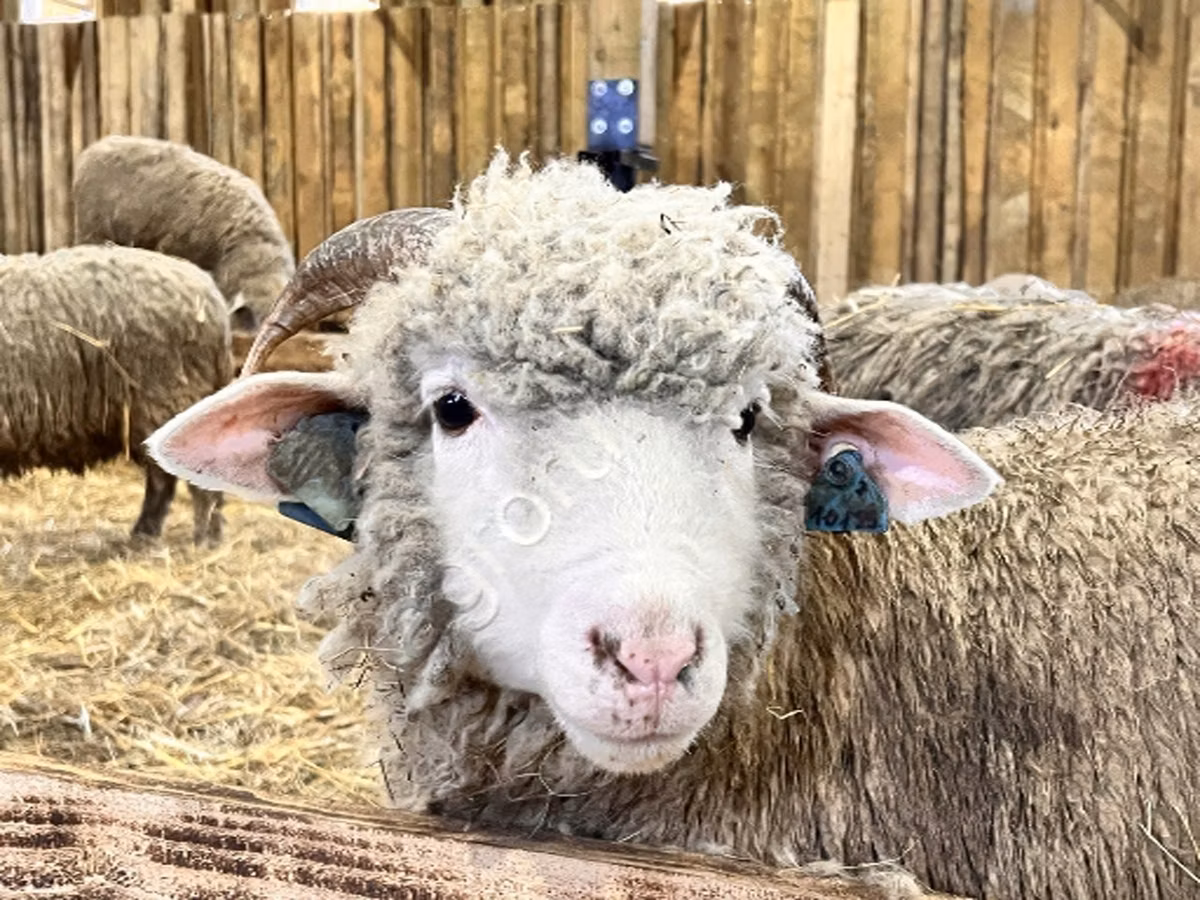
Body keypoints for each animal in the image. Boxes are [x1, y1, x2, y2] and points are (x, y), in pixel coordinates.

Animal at [1, 244, 231, 544]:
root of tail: (211, 298)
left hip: (166, 399)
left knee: (181, 480)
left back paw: (204, 539)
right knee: (163, 479)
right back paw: (146, 535)